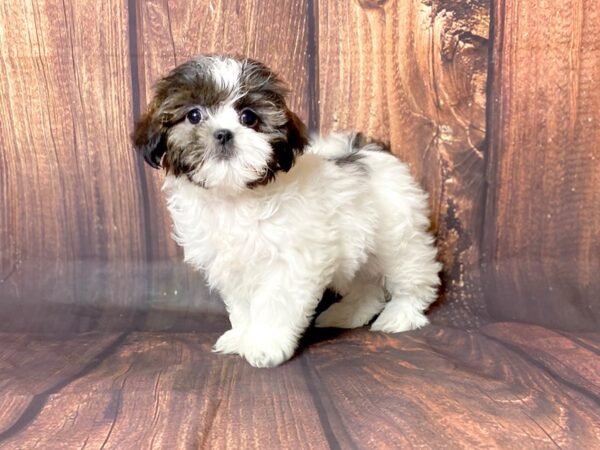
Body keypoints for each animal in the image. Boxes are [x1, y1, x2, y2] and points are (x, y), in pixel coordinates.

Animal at [132, 54, 440, 368]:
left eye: (249, 118)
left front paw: (265, 345)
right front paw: (241, 337)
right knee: (366, 286)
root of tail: (369, 150)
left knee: (414, 275)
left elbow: (275, 303)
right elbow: (242, 306)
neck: (235, 196)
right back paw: (347, 314)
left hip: (397, 237)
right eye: (194, 115)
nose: (224, 134)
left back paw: (401, 314)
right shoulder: (233, 268)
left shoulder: (291, 263)